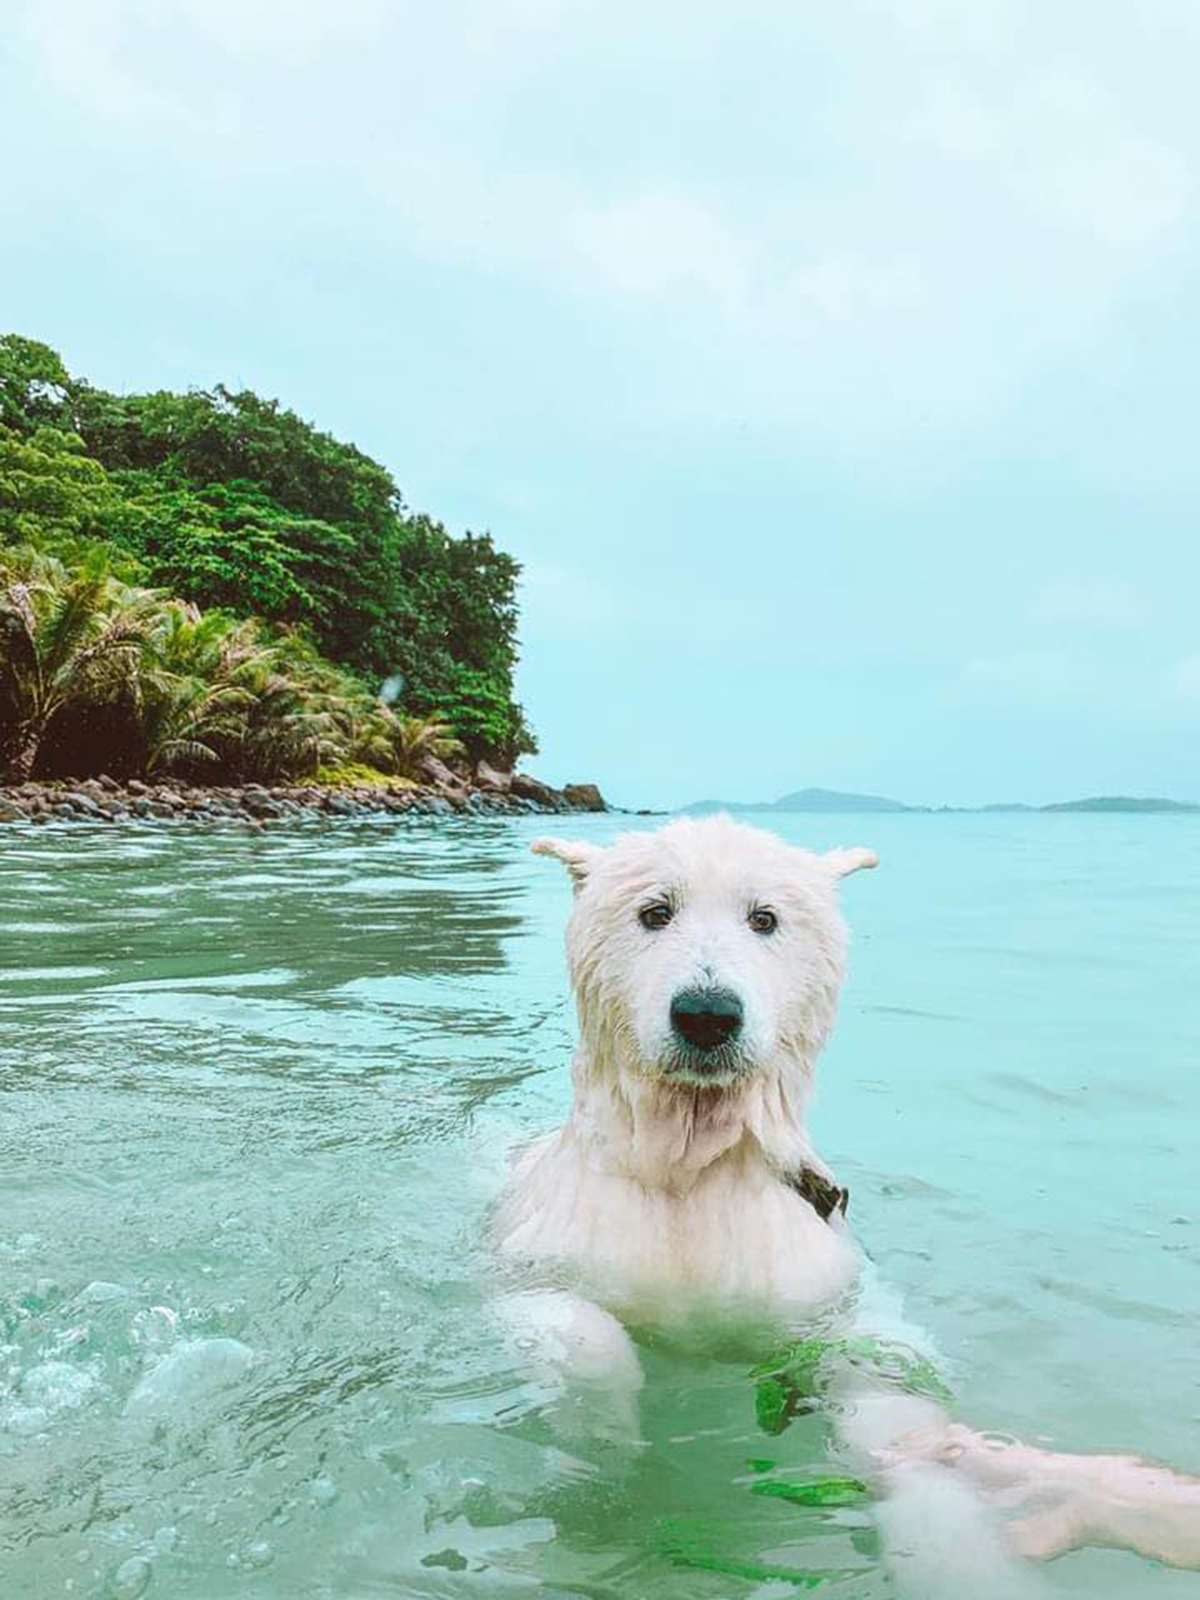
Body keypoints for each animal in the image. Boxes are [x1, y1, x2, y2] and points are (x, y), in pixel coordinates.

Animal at [492, 825, 1200, 1587]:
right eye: (655, 911)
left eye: (764, 918)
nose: (707, 1016)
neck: (693, 1164)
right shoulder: (559, 1244)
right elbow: (572, 1328)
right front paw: (604, 1458)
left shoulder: (815, 1271)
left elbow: (878, 1369)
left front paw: (947, 1529)